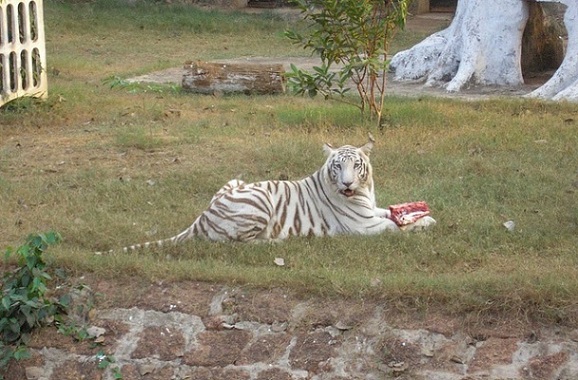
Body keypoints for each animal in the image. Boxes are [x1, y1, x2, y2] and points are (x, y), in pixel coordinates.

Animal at [97, 135, 434, 254]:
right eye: (338, 166)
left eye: (355, 165)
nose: (347, 184)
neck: (363, 192)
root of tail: (200, 219)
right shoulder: (364, 226)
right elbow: (394, 227)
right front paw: (422, 224)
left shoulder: (371, 211)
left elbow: (392, 212)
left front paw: (421, 215)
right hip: (259, 203)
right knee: (237, 243)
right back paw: (278, 241)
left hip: (234, 180)